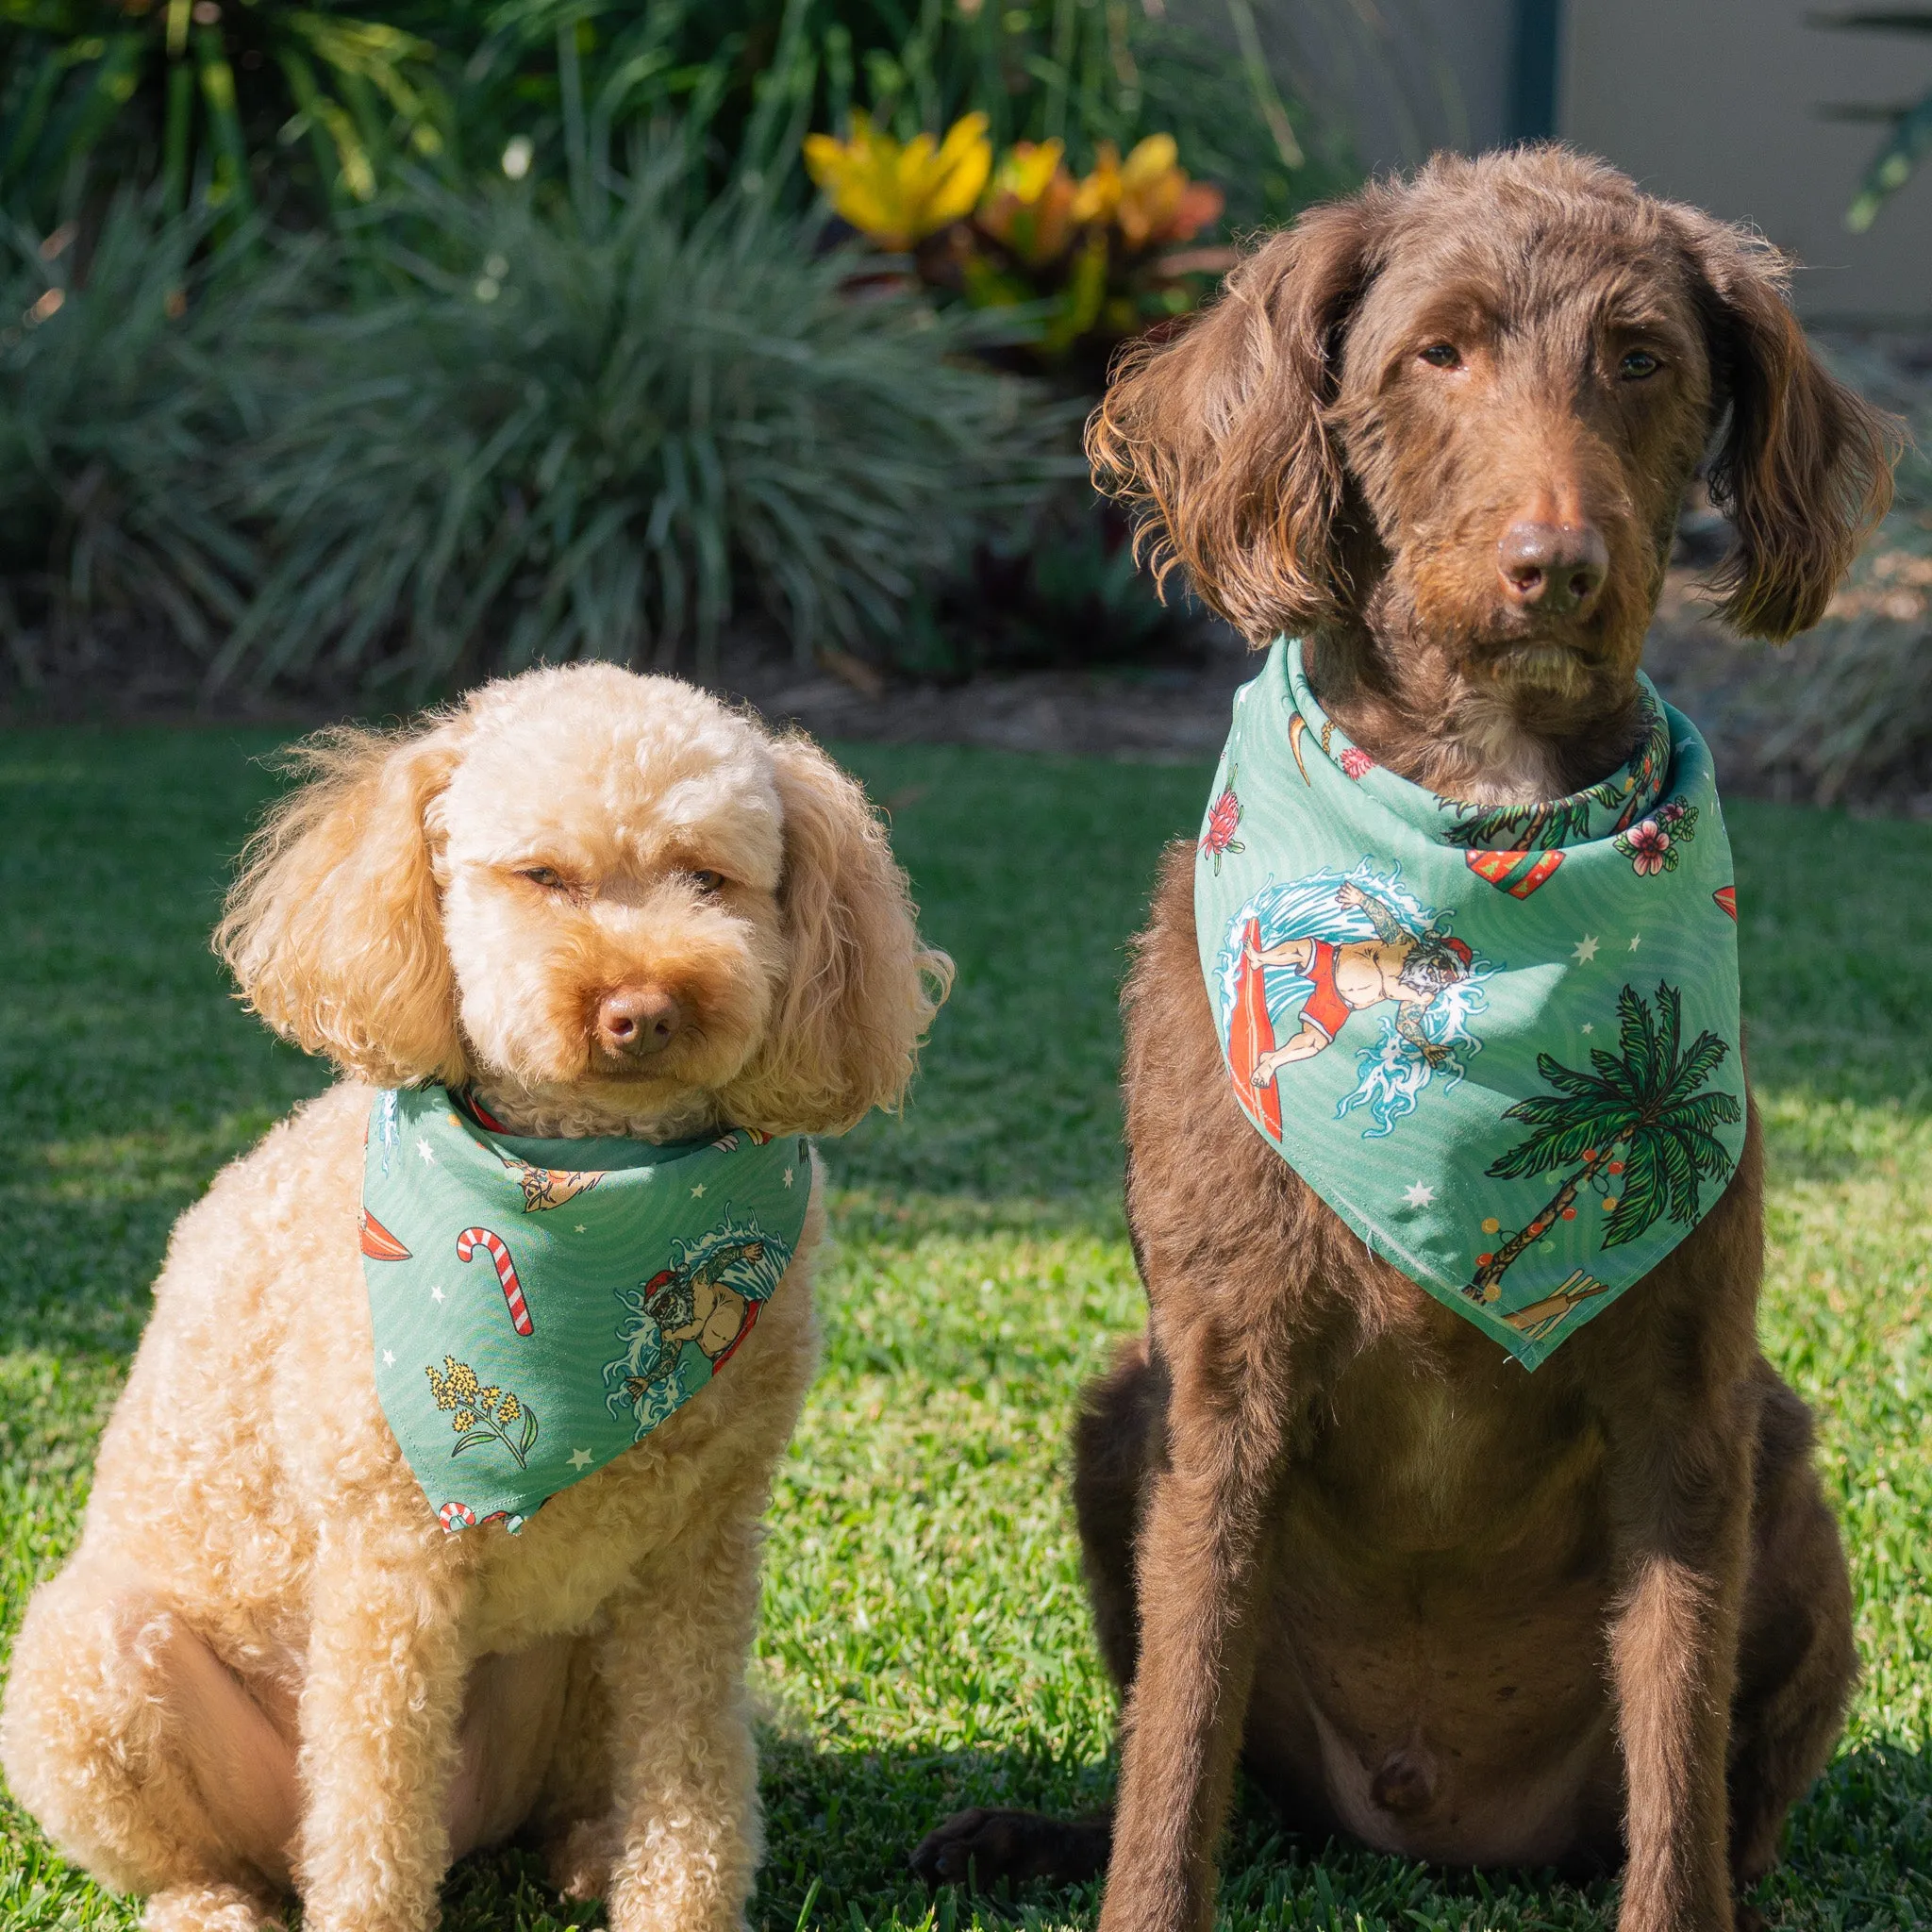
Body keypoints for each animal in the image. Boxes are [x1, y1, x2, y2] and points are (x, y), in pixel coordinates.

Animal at [911, 146, 1893, 1932]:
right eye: (1436, 352)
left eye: (1641, 357)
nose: (1555, 562)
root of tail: (1435, 1825)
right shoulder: (1222, 1382)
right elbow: (1176, 1750)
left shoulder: (1686, 1400)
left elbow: (1676, 1762)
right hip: (1118, 1410)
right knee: (1211, 1767)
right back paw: (1032, 1835)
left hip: (1777, 1451)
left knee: (1731, 1804)